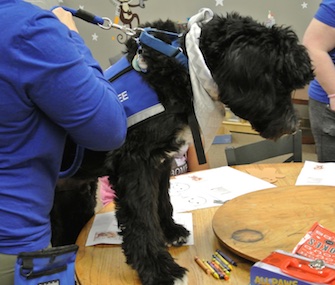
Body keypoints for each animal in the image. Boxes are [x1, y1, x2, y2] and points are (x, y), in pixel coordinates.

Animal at [51, 10, 314, 284]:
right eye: (279, 81)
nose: (293, 126)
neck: (184, 67)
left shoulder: (160, 161)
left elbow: (161, 201)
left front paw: (170, 231)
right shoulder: (134, 164)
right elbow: (142, 219)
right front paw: (159, 269)